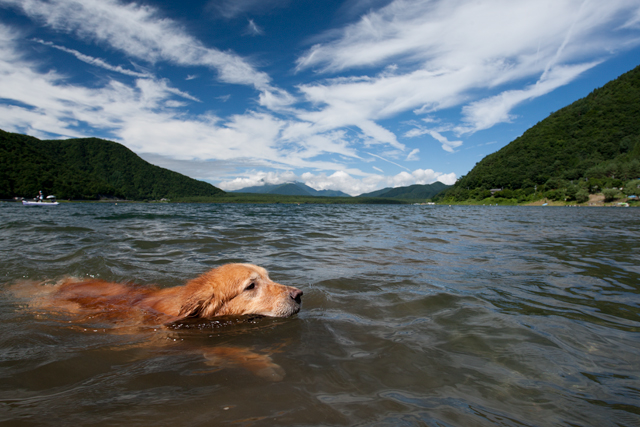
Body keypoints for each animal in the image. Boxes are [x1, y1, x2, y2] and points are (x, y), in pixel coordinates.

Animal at [10, 264, 304, 382]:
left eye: (269, 277)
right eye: (251, 286)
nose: (299, 294)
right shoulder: (171, 336)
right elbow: (225, 349)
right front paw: (265, 366)